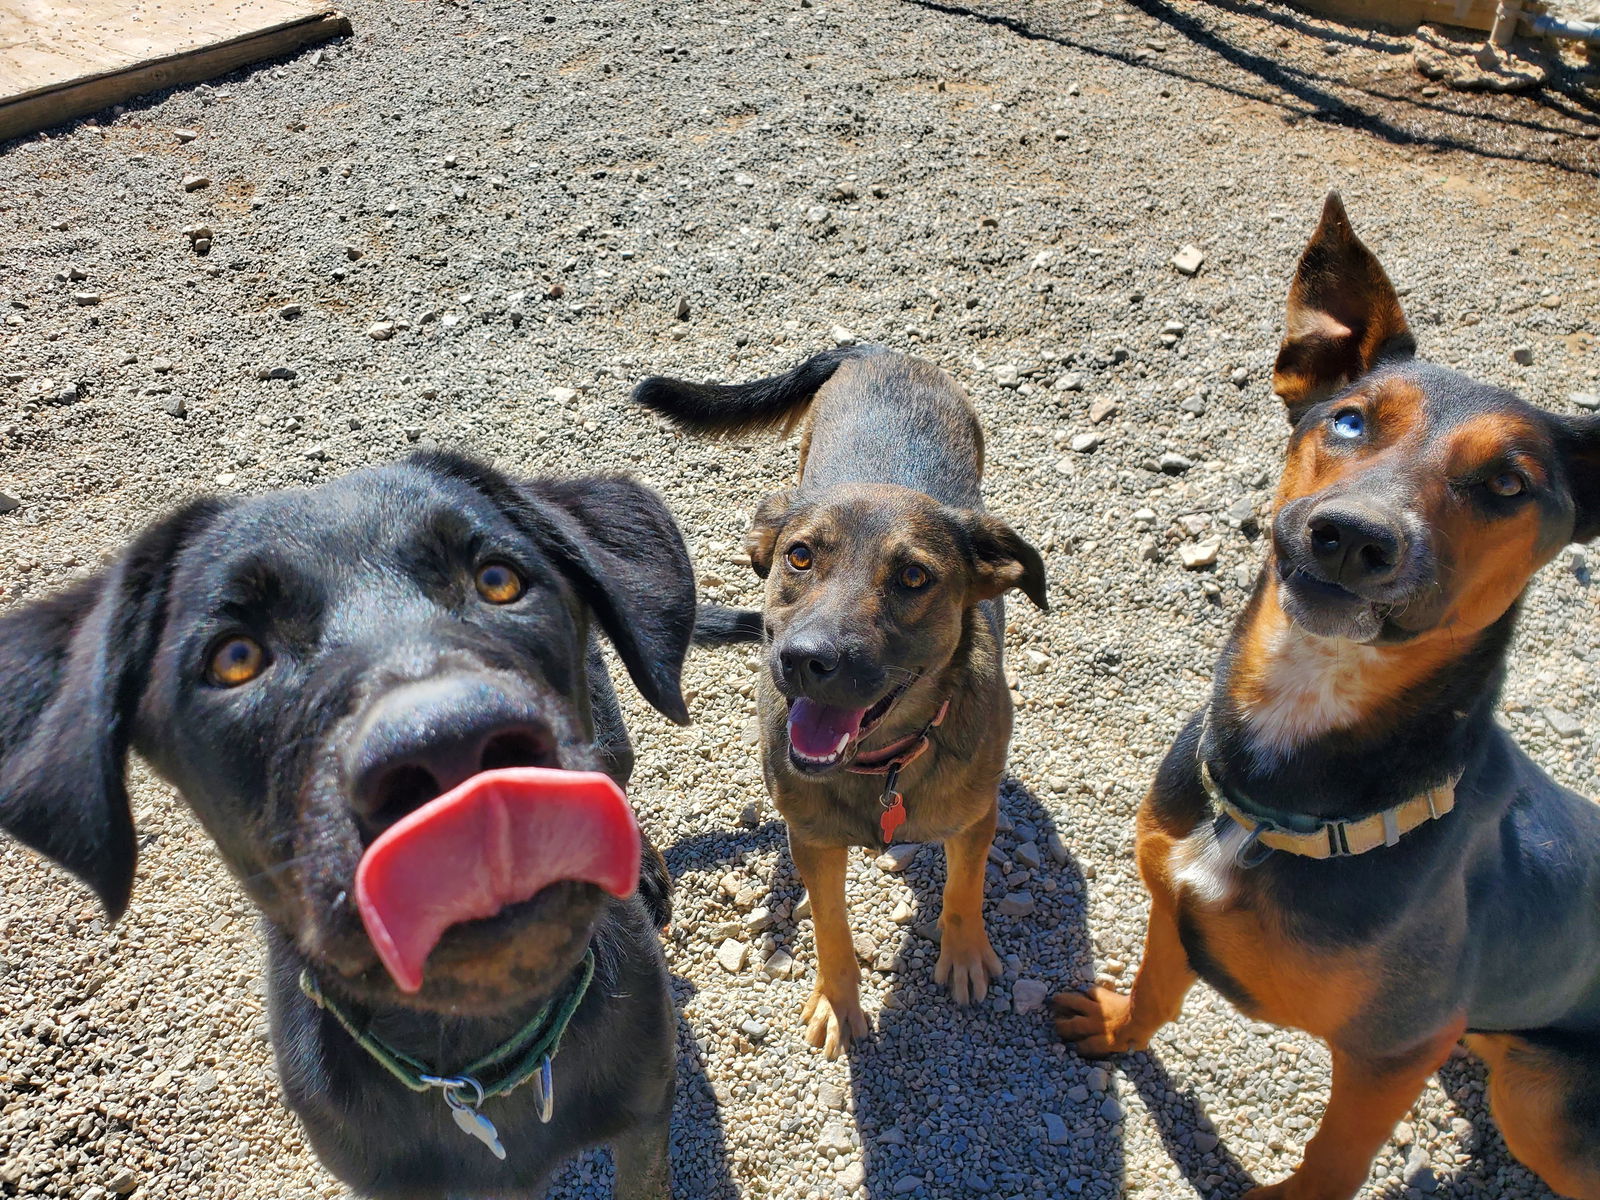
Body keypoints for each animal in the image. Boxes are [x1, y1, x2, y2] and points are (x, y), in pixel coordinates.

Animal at [636, 350, 1049, 1062]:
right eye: (799, 556)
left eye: (914, 577)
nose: (805, 659)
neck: (883, 766)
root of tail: (873, 350)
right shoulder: (812, 838)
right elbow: (830, 927)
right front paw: (837, 1001)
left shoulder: (975, 817)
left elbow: (965, 889)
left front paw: (966, 953)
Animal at [1049, 192, 1600, 1196]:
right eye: (1349, 421)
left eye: (1509, 483)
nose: (1353, 537)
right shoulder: (1171, 900)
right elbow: (1154, 991)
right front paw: (1115, 1031)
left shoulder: (1389, 1058)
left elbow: (1330, 1159)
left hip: (1546, 1107)